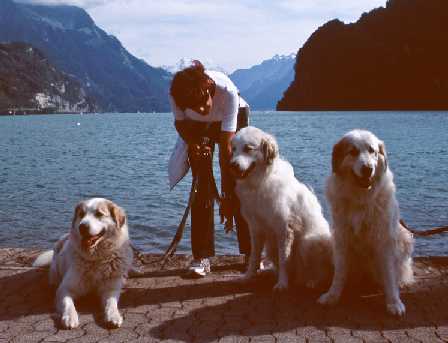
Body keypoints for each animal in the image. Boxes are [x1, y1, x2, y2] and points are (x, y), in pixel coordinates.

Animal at [33, 199, 133, 330]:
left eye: (99, 214)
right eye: (81, 214)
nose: (82, 226)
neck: (95, 259)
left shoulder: (110, 289)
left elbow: (111, 304)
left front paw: (113, 316)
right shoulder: (65, 288)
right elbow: (68, 304)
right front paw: (70, 317)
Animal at [316, 131, 414, 318]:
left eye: (372, 151)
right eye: (353, 152)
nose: (368, 169)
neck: (360, 197)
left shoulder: (384, 239)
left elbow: (389, 274)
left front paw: (394, 302)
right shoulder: (341, 236)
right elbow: (340, 272)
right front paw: (333, 295)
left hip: (404, 237)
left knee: (398, 270)